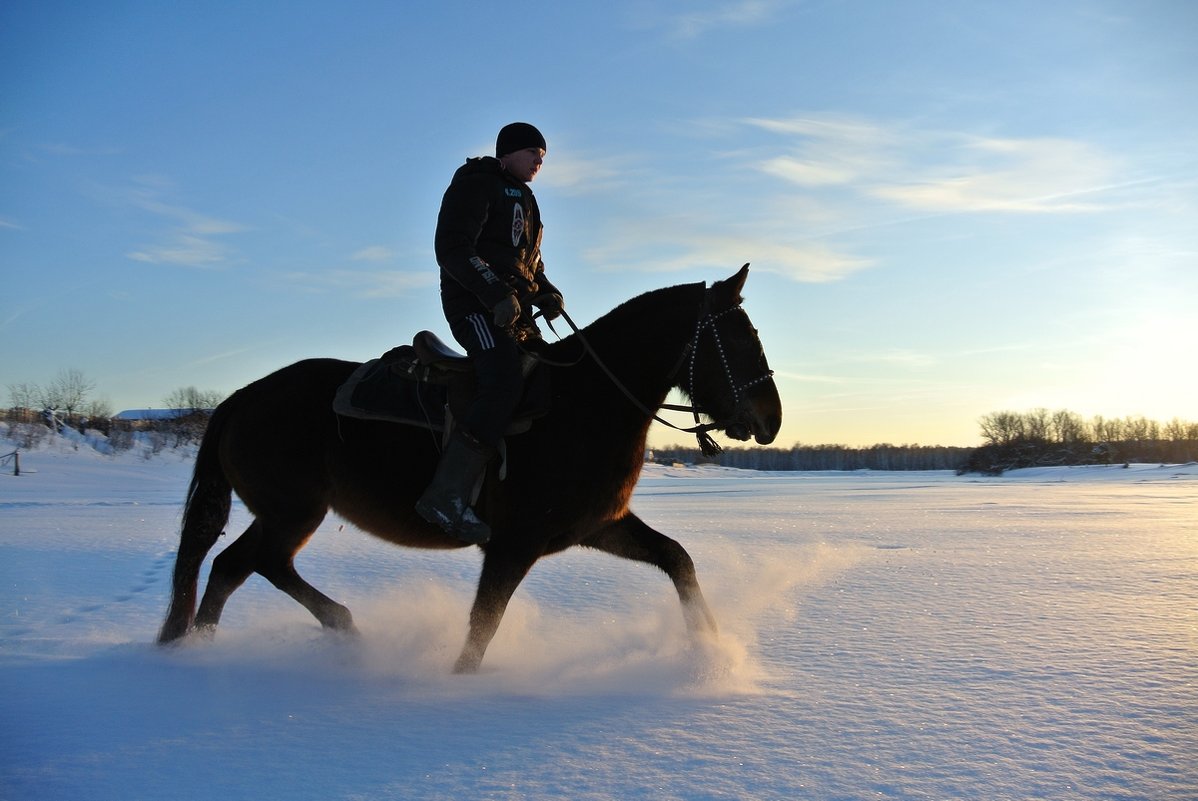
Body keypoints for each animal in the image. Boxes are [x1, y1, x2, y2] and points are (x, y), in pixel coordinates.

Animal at [159, 265, 781, 670]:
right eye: (738, 340)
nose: (770, 420)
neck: (584, 402)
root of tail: (242, 398)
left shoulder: (598, 527)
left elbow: (678, 560)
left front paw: (710, 645)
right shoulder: (513, 544)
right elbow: (482, 629)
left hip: (284, 513)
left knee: (233, 567)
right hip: (293, 512)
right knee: (253, 563)